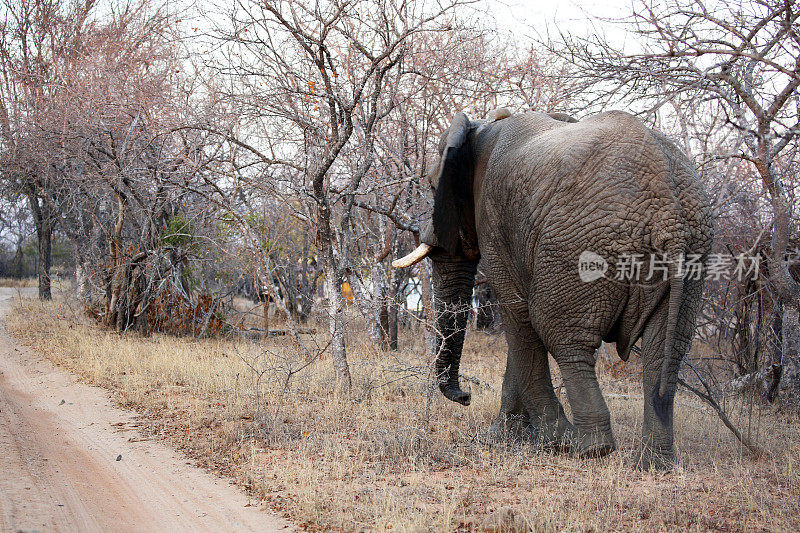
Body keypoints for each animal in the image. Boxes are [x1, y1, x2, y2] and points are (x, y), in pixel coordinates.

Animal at [394, 109, 712, 470]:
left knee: (560, 334)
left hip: (580, 248)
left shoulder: (493, 217)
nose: (466, 397)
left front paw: (546, 441)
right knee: (664, 352)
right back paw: (653, 464)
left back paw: (588, 447)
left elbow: (518, 313)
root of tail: (669, 214)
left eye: (433, 186)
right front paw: (502, 438)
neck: (481, 128)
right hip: (693, 258)